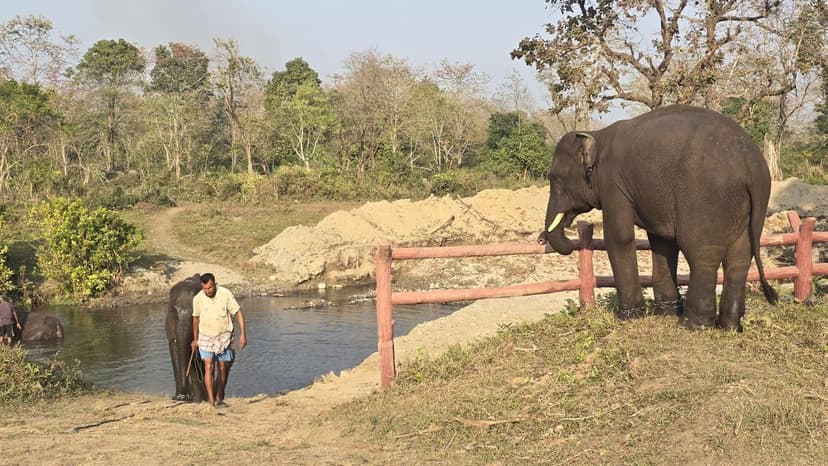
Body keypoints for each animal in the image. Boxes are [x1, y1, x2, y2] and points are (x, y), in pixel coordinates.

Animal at [538, 104, 777, 331]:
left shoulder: (613, 185)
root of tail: (751, 163)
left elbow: (620, 237)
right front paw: (667, 311)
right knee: (739, 257)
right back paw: (731, 326)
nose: (541, 239)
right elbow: (662, 242)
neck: (597, 134)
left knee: (702, 254)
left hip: (705, 198)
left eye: (556, 179)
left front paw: (628, 316)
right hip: (750, 207)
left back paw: (693, 325)